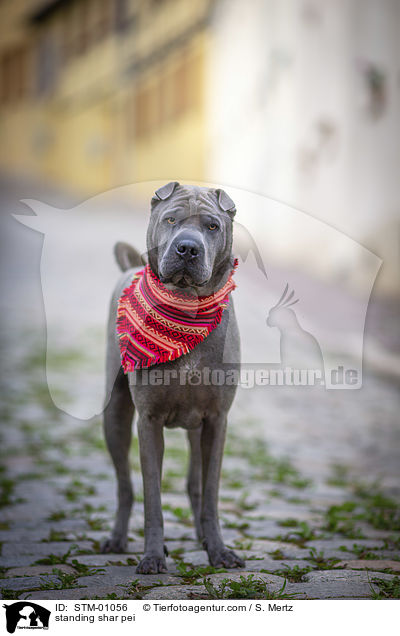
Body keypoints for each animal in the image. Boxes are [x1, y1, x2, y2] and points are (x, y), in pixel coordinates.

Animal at [101, 181, 244, 572]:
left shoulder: (217, 420)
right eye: (170, 219)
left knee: (195, 484)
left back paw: (202, 538)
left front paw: (219, 550)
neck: (186, 309)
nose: (188, 248)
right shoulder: (148, 420)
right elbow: (152, 494)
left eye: (212, 225)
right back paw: (117, 538)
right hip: (114, 414)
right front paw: (152, 555)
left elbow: (210, 492)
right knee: (124, 486)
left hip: (197, 429)